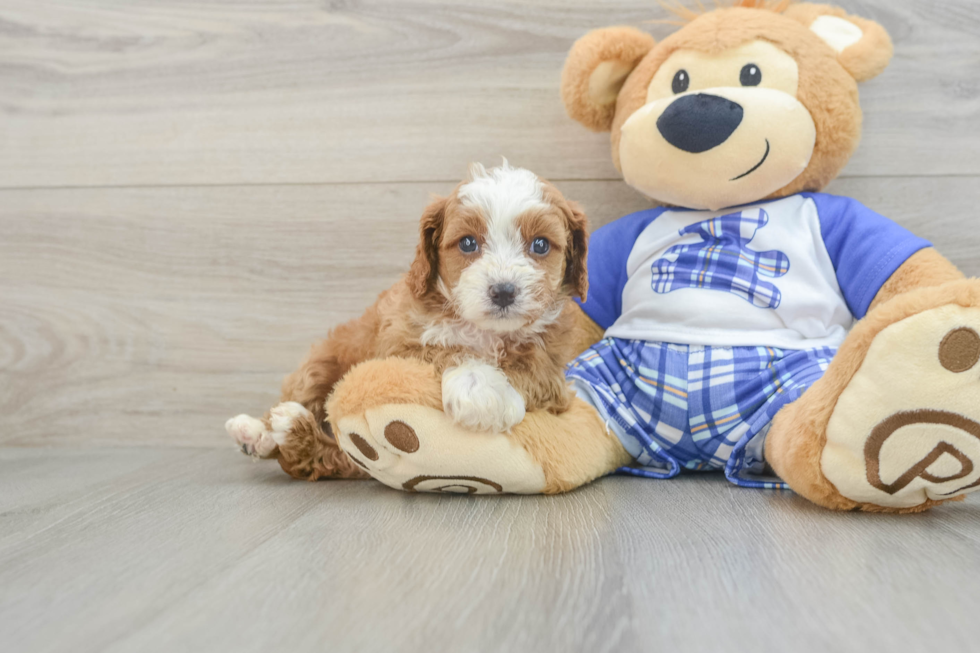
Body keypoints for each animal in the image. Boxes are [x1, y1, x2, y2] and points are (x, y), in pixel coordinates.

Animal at [227, 162, 592, 478]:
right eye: (468, 243)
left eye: (541, 245)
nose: (503, 291)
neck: (486, 332)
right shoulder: (398, 343)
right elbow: (442, 350)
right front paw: (478, 387)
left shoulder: (555, 373)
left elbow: (533, 367)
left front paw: (487, 391)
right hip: (320, 364)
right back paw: (260, 432)